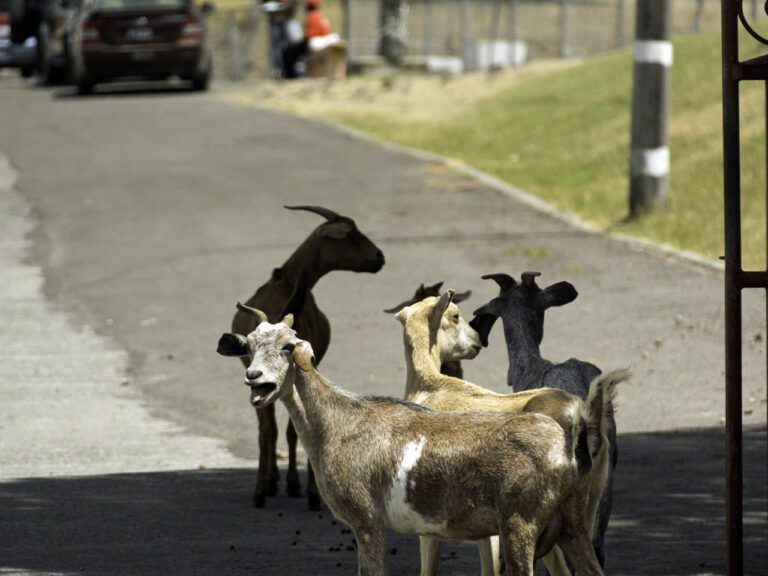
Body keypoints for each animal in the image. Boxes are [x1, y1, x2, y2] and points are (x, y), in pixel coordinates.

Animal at [217, 310, 609, 576]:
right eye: (248, 346)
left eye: (288, 347)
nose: (255, 377)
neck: (338, 423)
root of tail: (570, 441)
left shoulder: (368, 521)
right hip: (573, 522)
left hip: (520, 524)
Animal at [230, 205, 385, 509]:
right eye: (351, 234)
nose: (379, 258)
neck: (287, 278)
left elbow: (277, 429)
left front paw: (280, 481)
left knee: (272, 430)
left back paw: (267, 490)